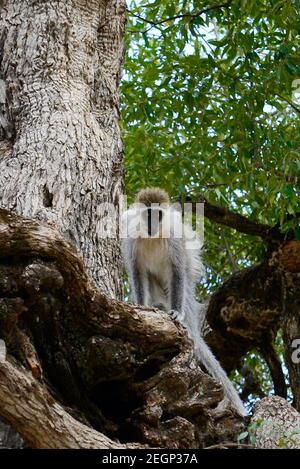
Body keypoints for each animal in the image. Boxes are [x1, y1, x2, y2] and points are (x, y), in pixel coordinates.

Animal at [121, 187, 246, 416]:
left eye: (158, 215)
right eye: (148, 215)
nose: (152, 225)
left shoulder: (174, 239)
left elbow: (177, 270)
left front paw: (177, 314)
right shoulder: (132, 239)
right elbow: (137, 273)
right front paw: (142, 307)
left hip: (186, 290)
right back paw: (158, 306)